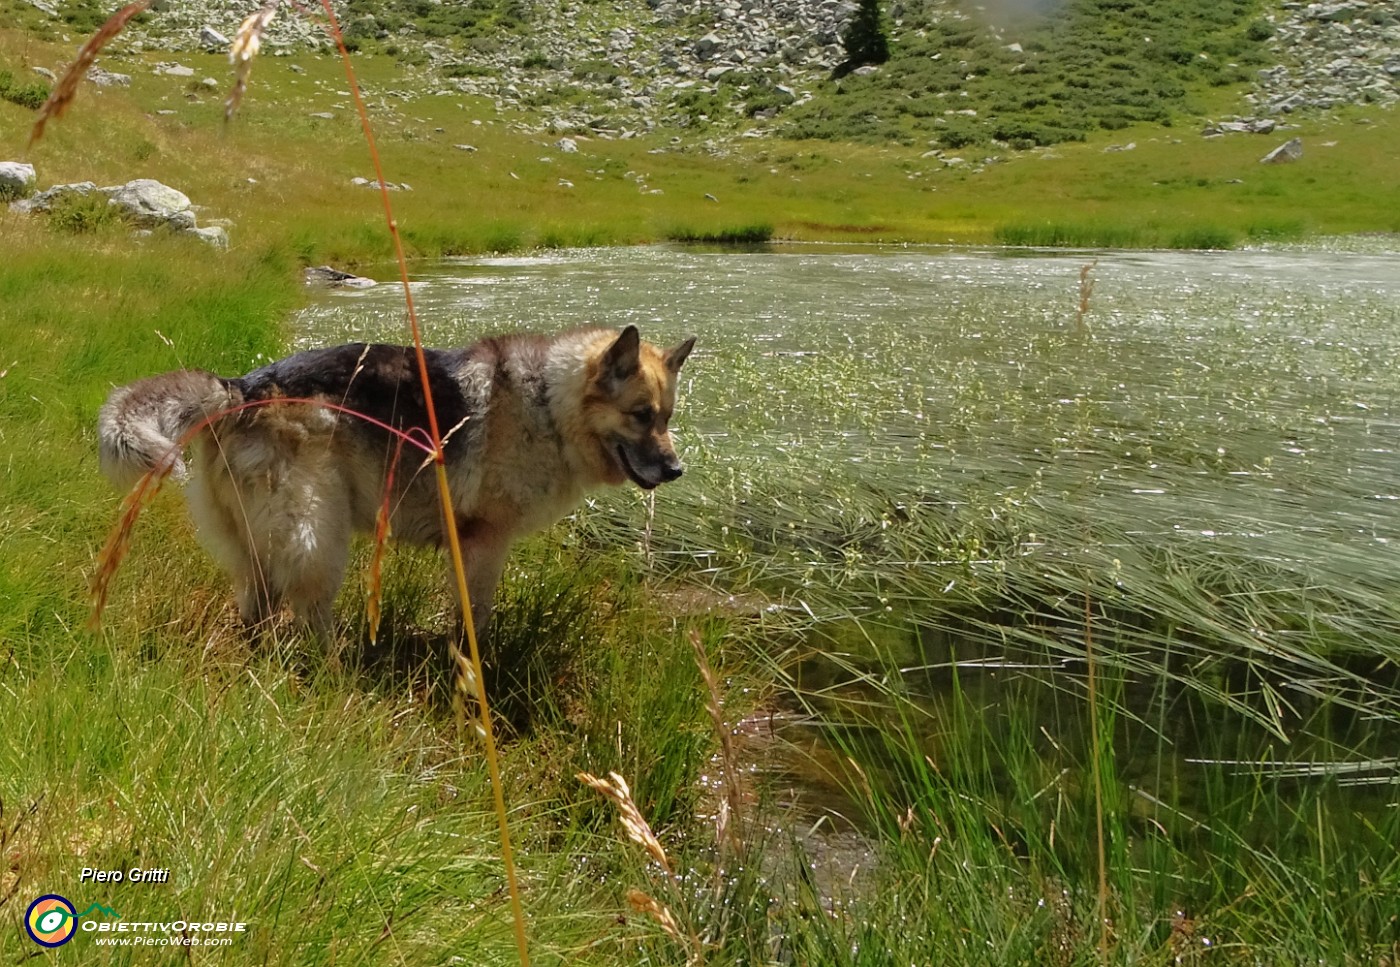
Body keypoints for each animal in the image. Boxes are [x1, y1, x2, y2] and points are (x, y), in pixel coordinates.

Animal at [95, 324, 697, 638]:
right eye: (641, 416)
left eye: (667, 417)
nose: (675, 471)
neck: (549, 403)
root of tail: (240, 389)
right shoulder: (482, 545)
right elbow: (474, 620)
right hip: (318, 537)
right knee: (309, 615)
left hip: (258, 548)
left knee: (258, 607)